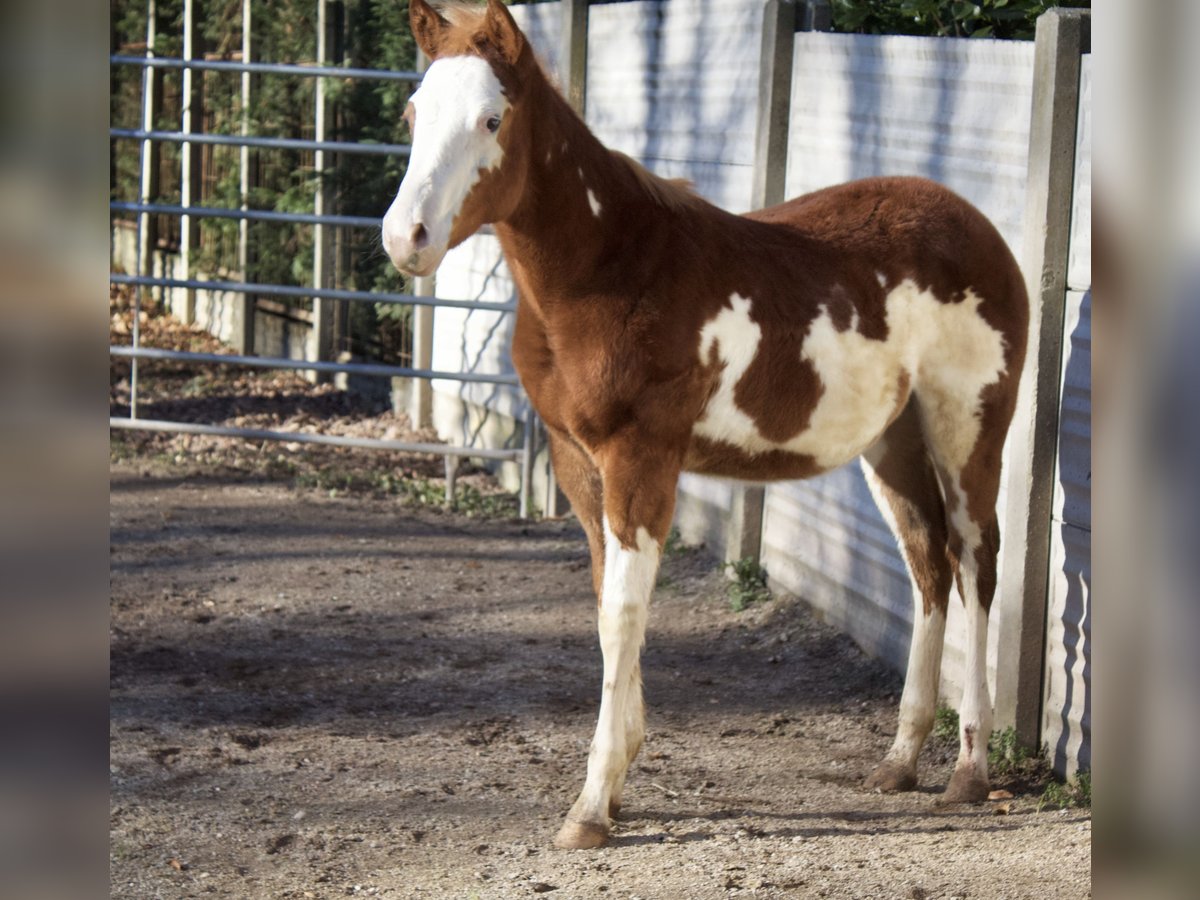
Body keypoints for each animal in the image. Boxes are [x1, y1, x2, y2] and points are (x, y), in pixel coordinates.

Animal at [384, 0, 1032, 854]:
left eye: (492, 119)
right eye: (413, 113)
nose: (406, 238)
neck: (606, 271)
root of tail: (983, 231)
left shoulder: (642, 458)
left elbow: (625, 614)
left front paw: (591, 808)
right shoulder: (577, 460)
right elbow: (606, 606)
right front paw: (619, 781)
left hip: (967, 425)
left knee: (976, 563)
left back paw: (969, 772)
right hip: (891, 442)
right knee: (928, 563)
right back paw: (898, 761)